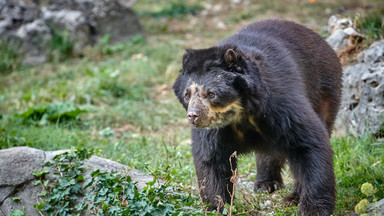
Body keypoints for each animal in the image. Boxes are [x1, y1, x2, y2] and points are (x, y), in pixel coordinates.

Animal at [172, 19, 340, 216]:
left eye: (211, 93)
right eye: (187, 94)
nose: (193, 115)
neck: (241, 113)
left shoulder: (279, 103)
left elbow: (309, 143)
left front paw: (313, 208)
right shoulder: (214, 129)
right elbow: (210, 159)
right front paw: (216, 207)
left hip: (324, 90)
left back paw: (292, 195)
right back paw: (265, 183)